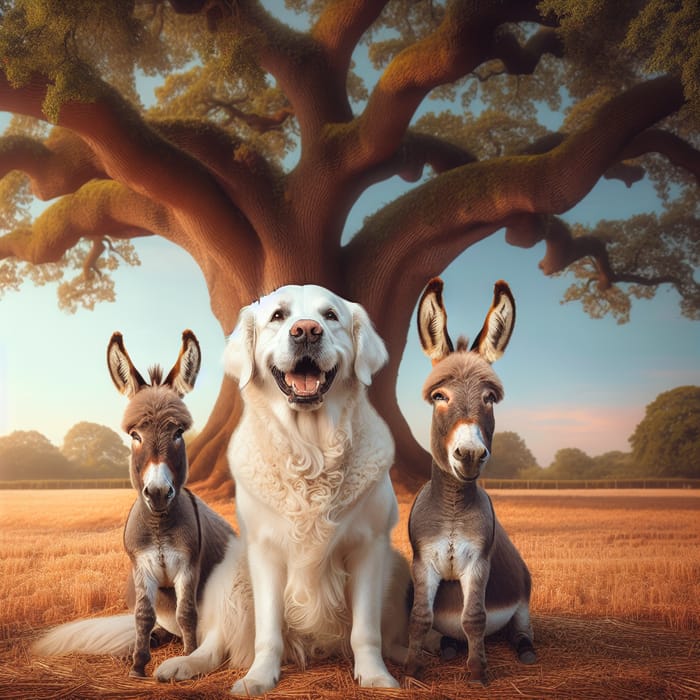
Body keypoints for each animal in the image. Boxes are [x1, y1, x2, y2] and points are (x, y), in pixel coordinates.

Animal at [224, 284, 410, 696]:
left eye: (330, 316)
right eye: (278, 316)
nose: (306, 331)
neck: (310, 451)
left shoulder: (369, 547)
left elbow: (365, 631)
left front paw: (375, 676)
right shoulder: (264, 551)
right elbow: (268, 633)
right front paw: (259, 678)